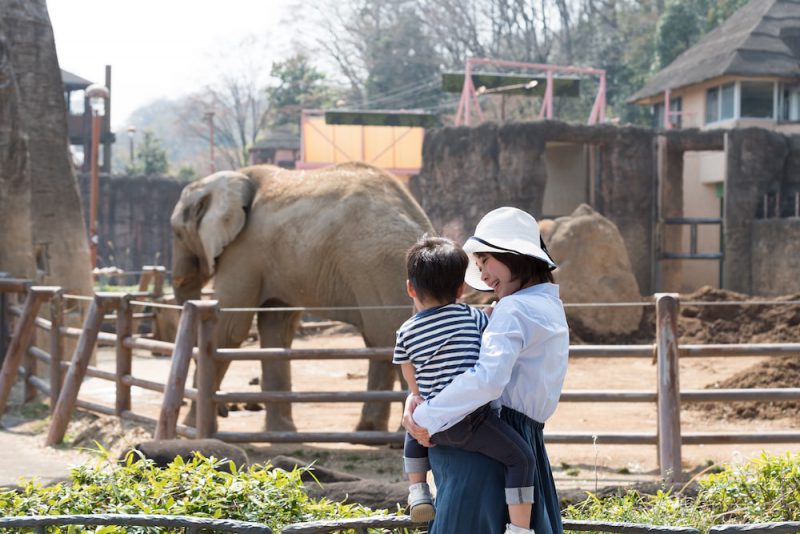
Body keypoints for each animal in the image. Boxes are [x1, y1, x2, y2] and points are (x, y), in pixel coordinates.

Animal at [167, 161, 432, 434]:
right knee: (377, 338)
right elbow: (277, 328)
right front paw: (280, 432)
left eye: (177, 233)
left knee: (386, 334)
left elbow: (230, 328)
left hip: (380, 270)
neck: (236, 177)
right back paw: (366, 432)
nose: (226, 411)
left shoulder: (244, 250)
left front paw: (188, 427)